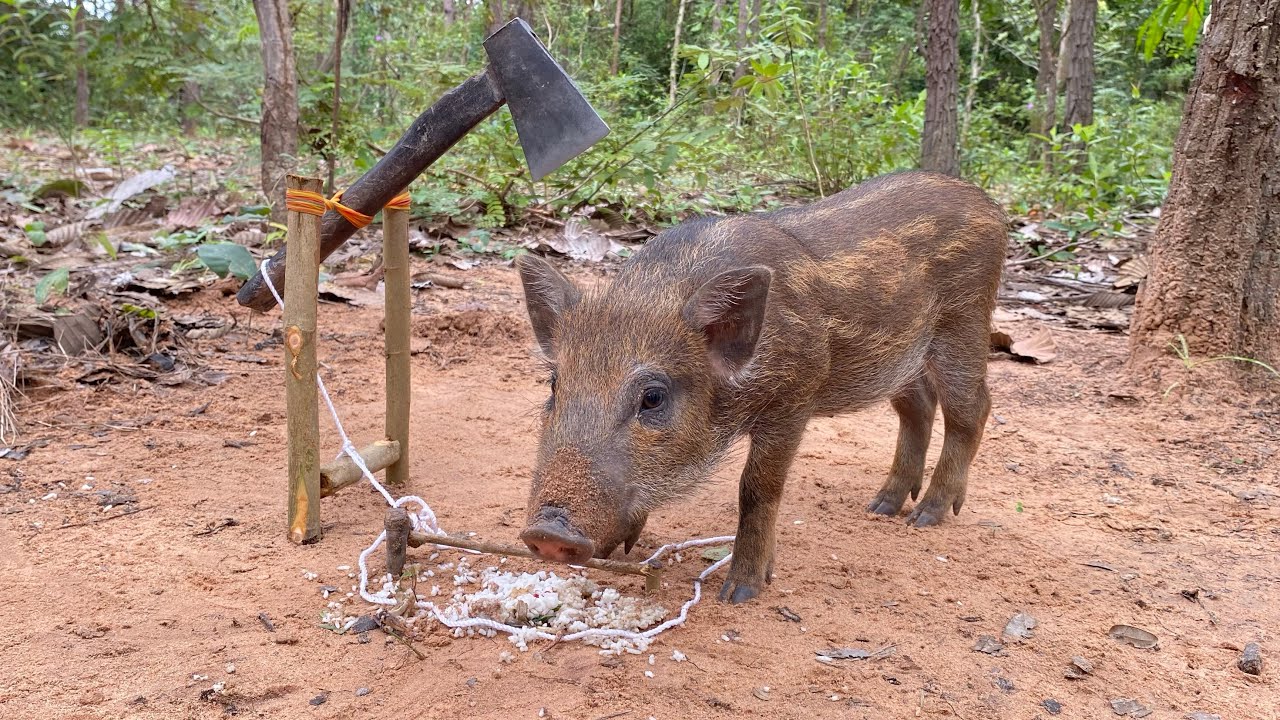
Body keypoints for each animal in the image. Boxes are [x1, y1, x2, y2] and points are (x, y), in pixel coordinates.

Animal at [515, 171, 1006, 603]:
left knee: (973, 409)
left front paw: (741, 593)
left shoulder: (796, 394)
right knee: (918, 406)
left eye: (653, 397)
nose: (547, 532)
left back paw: (926, 517)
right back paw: (882, 507)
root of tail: (990, 205)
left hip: (965, 322)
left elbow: (756, 488)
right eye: (555, 385)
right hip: (900, 356)